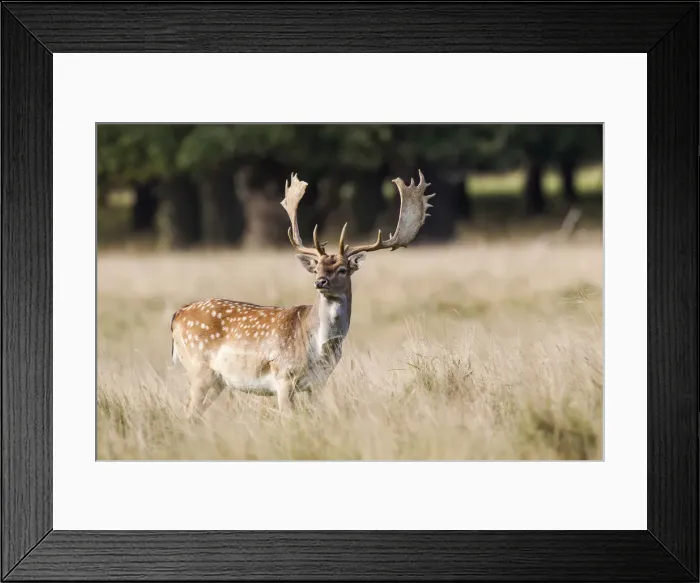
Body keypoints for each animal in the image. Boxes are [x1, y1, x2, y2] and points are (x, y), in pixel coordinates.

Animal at [170, 170, 435, 417]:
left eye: (342, 269)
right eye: (317, 268)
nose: (320, 282)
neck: (318, 348)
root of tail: (177, 315)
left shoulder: (318, 383)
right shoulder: (283, 376)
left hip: (216, 380)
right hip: (199, 368)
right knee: (187, 413)